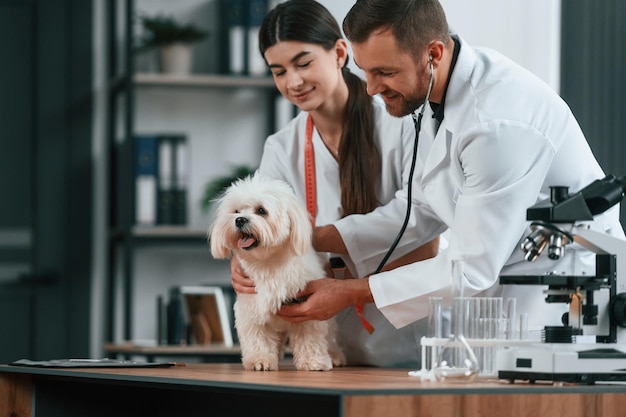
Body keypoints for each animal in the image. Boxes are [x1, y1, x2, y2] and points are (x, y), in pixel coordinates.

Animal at [210, 173, 346, 370]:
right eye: (236, 211)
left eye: (261, 210)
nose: (240, 220)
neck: (268, 263)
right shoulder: (251, 307)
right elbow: (257, 337)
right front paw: (260, 360)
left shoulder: (309, 309)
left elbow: (310, 337)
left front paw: (313, 361)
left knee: (330, 338)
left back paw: (335, 356)